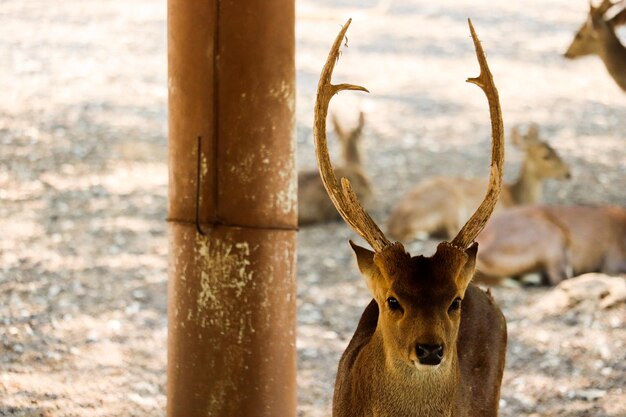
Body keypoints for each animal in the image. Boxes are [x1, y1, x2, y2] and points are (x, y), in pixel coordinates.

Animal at [386, 122, 572, 240]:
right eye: (545, 156)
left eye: (556, 149)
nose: (568, 173)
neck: (516, 198)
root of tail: (395, 224)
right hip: (449, 203)